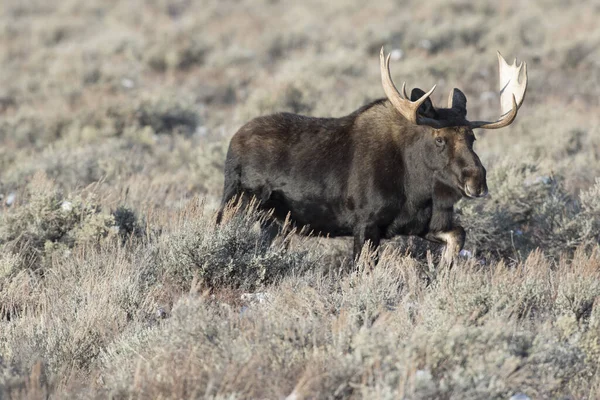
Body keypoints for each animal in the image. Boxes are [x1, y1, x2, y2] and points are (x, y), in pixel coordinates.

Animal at [218, 47, 528, 264]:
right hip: (235, 203)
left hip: (272, 221)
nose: (477, 182)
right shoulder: (366, 225)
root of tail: (233, 141)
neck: (416, 187)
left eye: (472, 138)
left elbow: (458, 235)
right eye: (440, 139)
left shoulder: (418, 225)